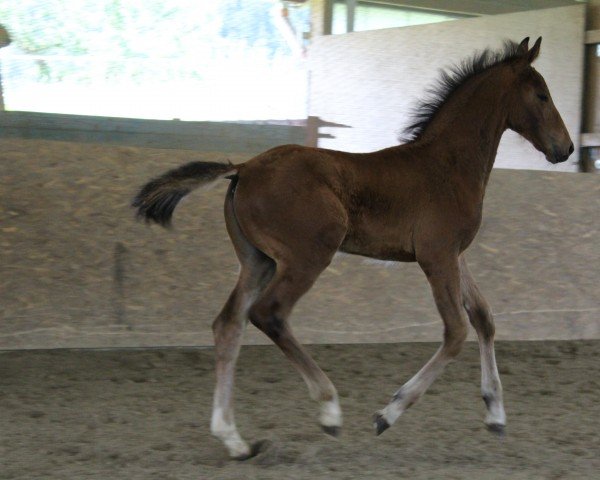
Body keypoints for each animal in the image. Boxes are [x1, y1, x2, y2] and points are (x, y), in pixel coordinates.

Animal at [134, 37, 576, 458]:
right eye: (541, 95)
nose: (567, 148)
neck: (447, 164)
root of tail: (243, 168)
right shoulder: (436, 256)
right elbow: (456, 331)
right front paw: (387, 413)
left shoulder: (454, 255)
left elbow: (484, 318)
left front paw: (496, 415)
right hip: (308, 256)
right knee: (268, 314)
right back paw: (329, 409)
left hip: (257, 261)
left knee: (229, 325)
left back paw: (235, 440)